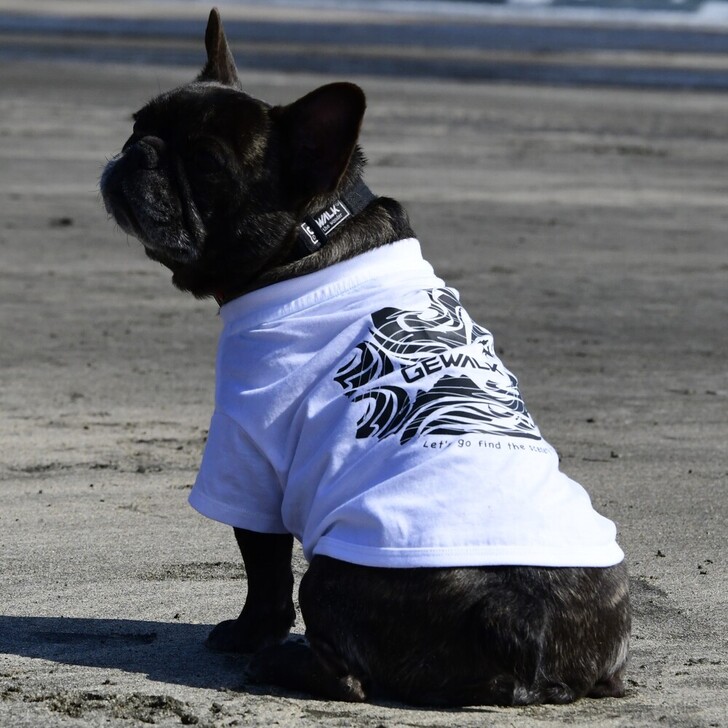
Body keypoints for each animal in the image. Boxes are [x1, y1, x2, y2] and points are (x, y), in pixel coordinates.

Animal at [100, 8, 630, 706]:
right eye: (138, 123)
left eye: (208, 164)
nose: (139, 153)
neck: (311, 237)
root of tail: (520, 626)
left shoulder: (247, 456)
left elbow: (262, 571)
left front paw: (245, 636)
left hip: (328, 573)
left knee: (345, 672)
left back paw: (277, 663)